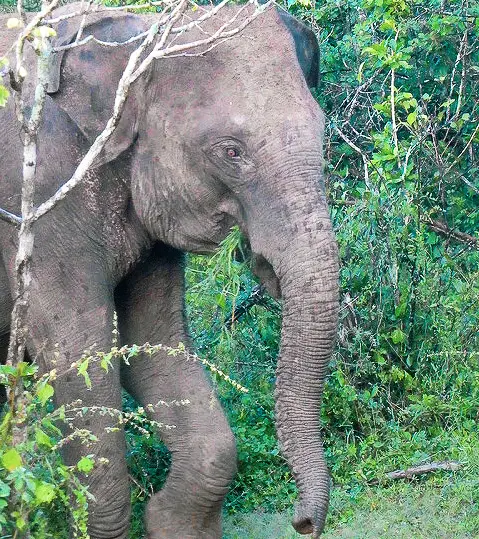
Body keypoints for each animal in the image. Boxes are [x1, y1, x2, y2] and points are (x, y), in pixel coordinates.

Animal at [0, 4, 340, 539]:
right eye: (231, 151)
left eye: (321, 133)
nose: (303, 522)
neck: (137, 32)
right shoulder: (37, 203)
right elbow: (78, 354)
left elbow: (153, 341)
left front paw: (169, 520)